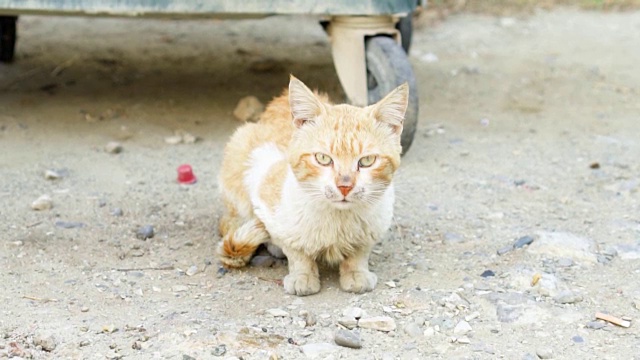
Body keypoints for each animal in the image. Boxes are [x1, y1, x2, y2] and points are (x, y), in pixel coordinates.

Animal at [218, 76, 408, 296]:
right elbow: (295, 249)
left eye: (367, 161)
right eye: (323, 158)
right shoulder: (262, 175)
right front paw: (302, 275)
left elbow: (360, 251)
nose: (344, 186)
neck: (338, 220)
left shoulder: (377, 223)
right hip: (240, 146)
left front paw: (356, 272)